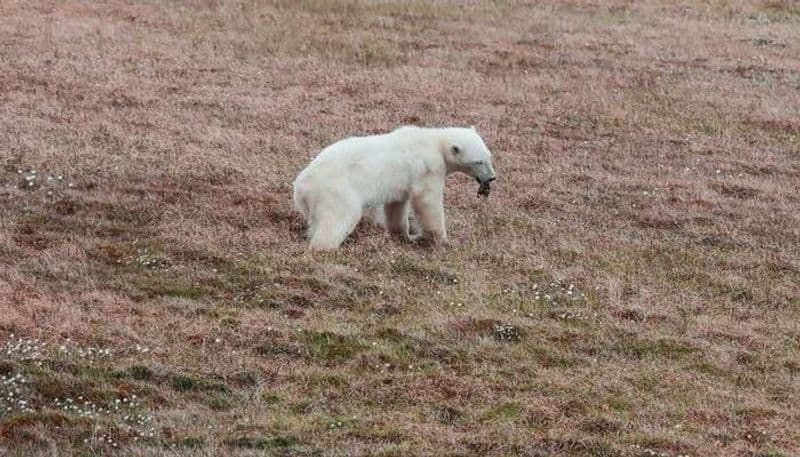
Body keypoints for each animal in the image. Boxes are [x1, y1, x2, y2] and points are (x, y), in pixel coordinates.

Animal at [290, 125, 496, 249]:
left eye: (489, 157)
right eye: (478, 162)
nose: (492, 178)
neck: (435, 141)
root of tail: (301, 187)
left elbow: (395, 205)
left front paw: (404, 235)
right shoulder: (428, 167)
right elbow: (427, 201)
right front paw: (442, 239)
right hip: (336, 189)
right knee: (338, 217)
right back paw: (324, 248)